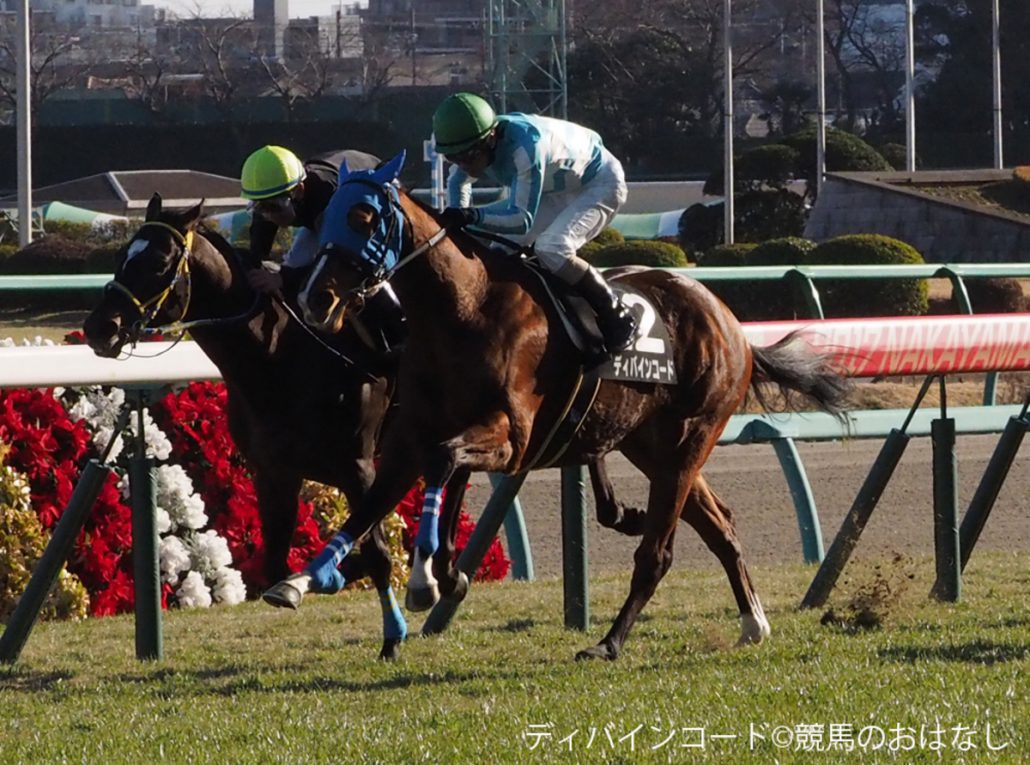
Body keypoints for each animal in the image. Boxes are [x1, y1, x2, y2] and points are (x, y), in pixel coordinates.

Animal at [82, 194, 414, 663]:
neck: (278, 357)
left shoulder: (359, 468)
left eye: (160, 262)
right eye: (120, 256)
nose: (99, 328)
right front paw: (309, 581)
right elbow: (277, 564)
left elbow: (377, 554)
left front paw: (391, 636)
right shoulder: (275, 470)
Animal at [267, 154, 852, 658]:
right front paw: (300, 580)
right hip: (651, 446)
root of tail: (732, 325)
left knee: (658, 554)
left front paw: (427, 581)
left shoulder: (511, 437)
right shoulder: (409, 440)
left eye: (364, 216)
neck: (464, 309)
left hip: (692, 437)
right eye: (323, 218)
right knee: (720, 525)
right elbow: (368, 512)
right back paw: (753, 622)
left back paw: (609, 643)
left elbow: (444, 462)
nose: (315, 298)